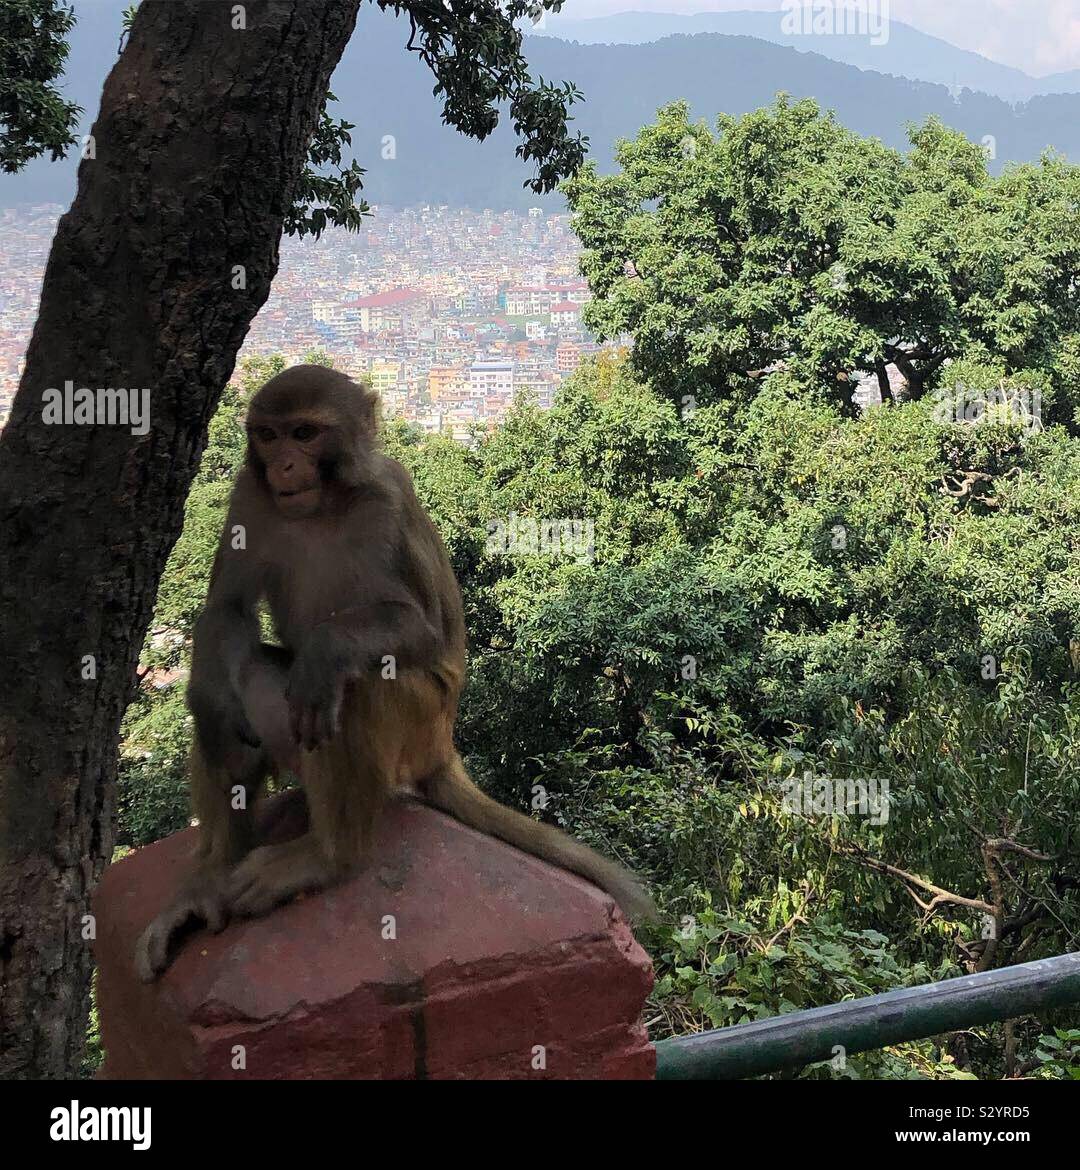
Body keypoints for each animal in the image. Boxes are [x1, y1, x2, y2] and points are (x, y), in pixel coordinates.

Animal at [134, 365, 654, 981]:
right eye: (268, 435)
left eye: (305, 433)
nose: (283, 466)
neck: (325, 505)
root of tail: (443, 746)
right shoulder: (249, 494)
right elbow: (227, 611)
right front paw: (210, 697)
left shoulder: (387, 504)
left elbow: (423, 629)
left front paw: (326, 651)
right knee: (248, 679)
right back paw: (209, 880)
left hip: (417, 726)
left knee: (354, 686)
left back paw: (330, 856)